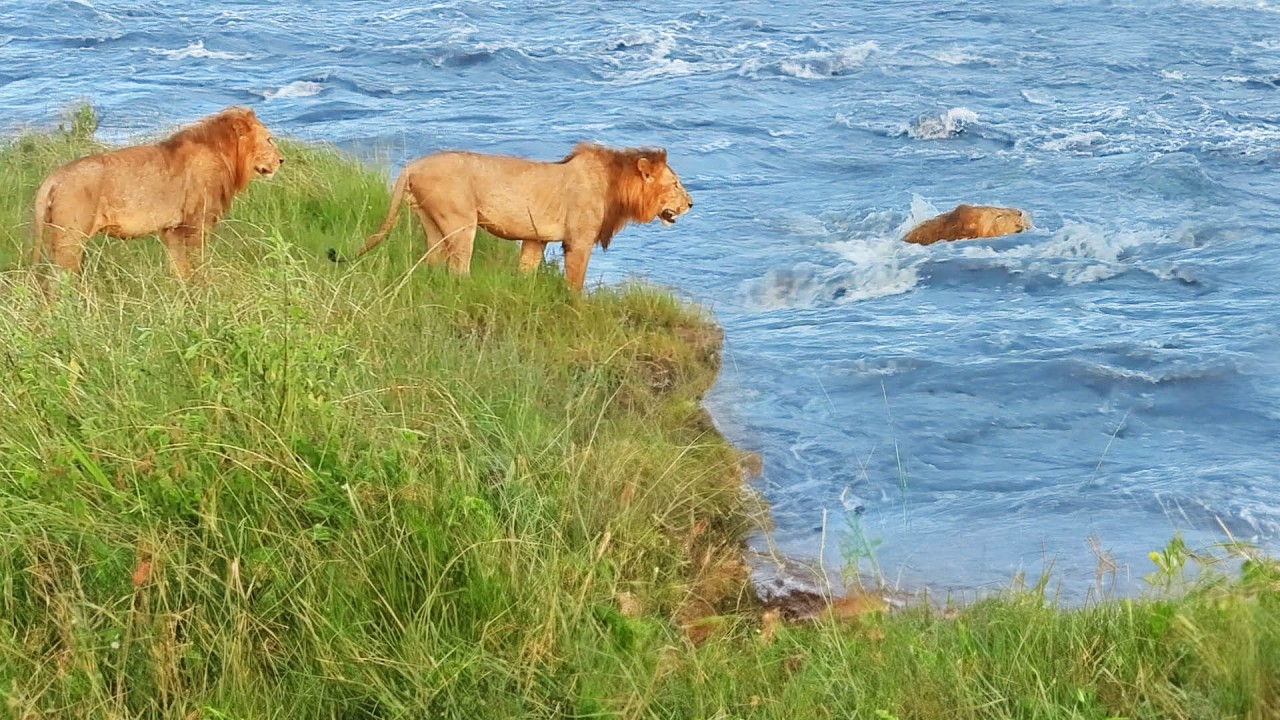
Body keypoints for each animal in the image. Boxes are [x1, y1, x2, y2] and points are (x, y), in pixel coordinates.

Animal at [31, 105, 286, 275]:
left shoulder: (173, 229)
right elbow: (199, 263)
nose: (282, 160)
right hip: (70, 239)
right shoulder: (197, 224)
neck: (226, 155)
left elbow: (180, 269)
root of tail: (54, 177)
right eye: (269, 139)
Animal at [330, 141, 691, 289]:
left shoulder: (535, 239)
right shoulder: (579, 242)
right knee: (458, 267)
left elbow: (526, 272)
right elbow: (575, 283)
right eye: (675, 183)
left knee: (432, 262)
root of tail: (412, 166)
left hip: (431, 223)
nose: (691, 203)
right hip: (461, 222)